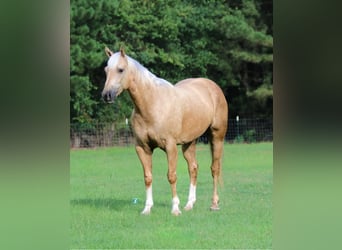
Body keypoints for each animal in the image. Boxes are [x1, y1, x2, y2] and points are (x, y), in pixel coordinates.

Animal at [103, 47, 228, 216]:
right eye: (106, 70)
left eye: (120, 69)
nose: (106, 95)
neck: (152, 104)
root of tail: (212, 86)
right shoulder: (142, 148)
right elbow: (148, 177)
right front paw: (147, 208)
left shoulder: (170, 146)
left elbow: (171, 176)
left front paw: (175, 208)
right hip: (189, 143)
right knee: (193, 168)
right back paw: (189, 204)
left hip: (217, 137)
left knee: (215, 169)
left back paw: (214, 204)